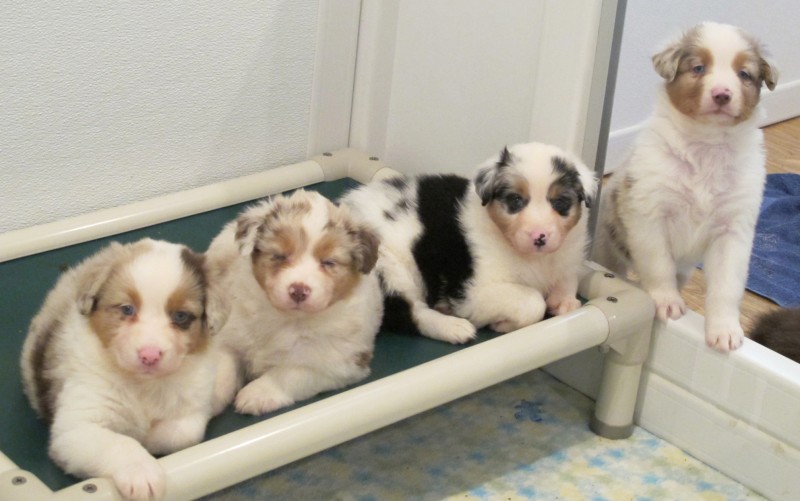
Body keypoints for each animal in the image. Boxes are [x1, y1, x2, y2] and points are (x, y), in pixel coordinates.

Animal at [18, 238, 230, 500]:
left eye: (181, 316)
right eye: (127, 309)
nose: (149, 355)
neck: (143, 384)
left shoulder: (191, 408)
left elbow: (182, 434)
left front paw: (147, 439)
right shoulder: (74, 427)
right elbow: (119, 442)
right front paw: (141, 473)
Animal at [206, 189, 382, 416]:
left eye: (328, 262)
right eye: (279, 256)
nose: (298, 291)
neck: (285, 318)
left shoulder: (337, 364)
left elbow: (290, 374)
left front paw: (257, 394)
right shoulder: (231, 336)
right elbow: (221, 369)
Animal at [340, 142, 596, 344]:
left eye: (560, 202)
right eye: (515, 200)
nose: (539, 237)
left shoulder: (566, 257)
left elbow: (568, 279)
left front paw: (564, 302)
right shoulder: (473, 291)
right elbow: (532, 301)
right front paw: (503, 324)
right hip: (387, 268)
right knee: (405, 312)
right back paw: (452, 326)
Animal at [596, 22, 780, 352]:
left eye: (744, 74)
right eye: (698, 68)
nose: (722, 94)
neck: (707, 147)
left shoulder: (732, 230)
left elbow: (726, 286)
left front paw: (725, 330)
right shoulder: (649, 216)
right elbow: (658, 266)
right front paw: (666, 303)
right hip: (608, 247)